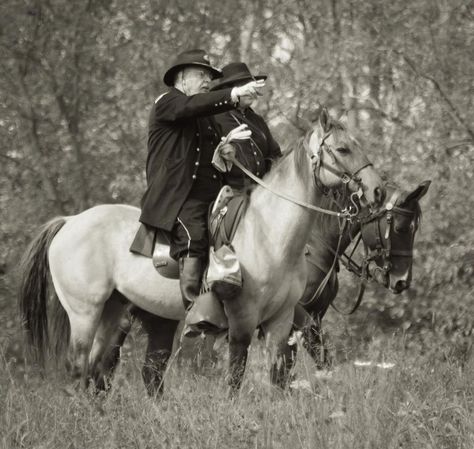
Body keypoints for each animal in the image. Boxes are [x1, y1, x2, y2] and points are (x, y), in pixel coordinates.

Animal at [18, 108, 384, 392]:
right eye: (343, 149)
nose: (377, 190)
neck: (269, 234)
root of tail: (70, 221)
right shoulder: (242, 321)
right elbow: (235, 378)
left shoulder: (281, 323)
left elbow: (279, 380)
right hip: (85, 313)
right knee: (79, 369)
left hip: (115, 310)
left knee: (99, 370)